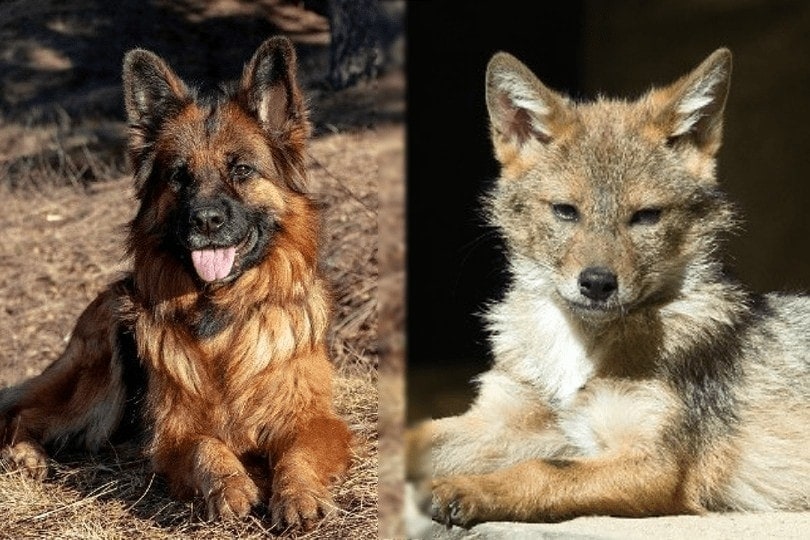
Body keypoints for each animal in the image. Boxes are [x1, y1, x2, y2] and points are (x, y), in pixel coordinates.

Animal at [1, 37, 352, 528]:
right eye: (178, 176)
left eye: (242, 170)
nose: (206, 221)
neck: (222, 313)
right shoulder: (174, 432)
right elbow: (208, 447)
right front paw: (230, 486)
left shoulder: (315, 419)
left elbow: (297, 453)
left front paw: (298, 494)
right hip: (98, 380)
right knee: (23, 412)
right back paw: (27, 456)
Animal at [408, 48, 808, 524]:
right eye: (566, 211)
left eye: (646, 216)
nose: (597, 283)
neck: (576, 348)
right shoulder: (505, 422)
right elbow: (417, 434)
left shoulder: (653, 466)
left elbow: (541, 471)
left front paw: (464, 488)